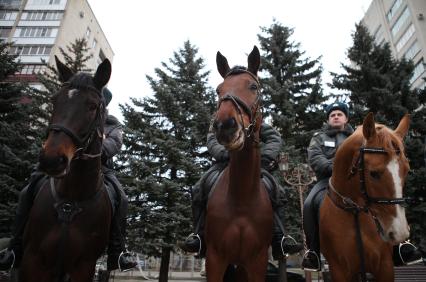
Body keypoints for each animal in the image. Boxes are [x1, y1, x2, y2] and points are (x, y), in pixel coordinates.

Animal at [18, 57, 112, 282]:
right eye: (54, 100)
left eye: (92, 106)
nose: (51, 160)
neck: (72, 197)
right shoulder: (32, 259)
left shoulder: (84, 265)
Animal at [206, 45, 272, 280]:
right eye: (218, 90)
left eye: (253, 86)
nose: (225, 125)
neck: (242, 199)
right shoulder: (215, 258)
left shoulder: (257, 261)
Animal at [322, 113, 412, 282]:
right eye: (373, 173)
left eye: (407, 171)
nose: (400, 232)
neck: (354, 212)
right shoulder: (339, 270)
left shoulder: (385, 266)